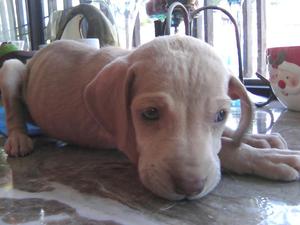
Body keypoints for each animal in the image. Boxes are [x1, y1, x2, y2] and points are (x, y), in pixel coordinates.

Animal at [0, 35, 300, 200]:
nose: (189, 187)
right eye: (150, 113)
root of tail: (35, 55)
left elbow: (227, 138)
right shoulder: (129, 142)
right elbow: (225, 150)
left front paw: (260, 140)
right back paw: (18, 139)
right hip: (12, 68)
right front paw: (265, 158)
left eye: (221, 115)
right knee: (14, 110)